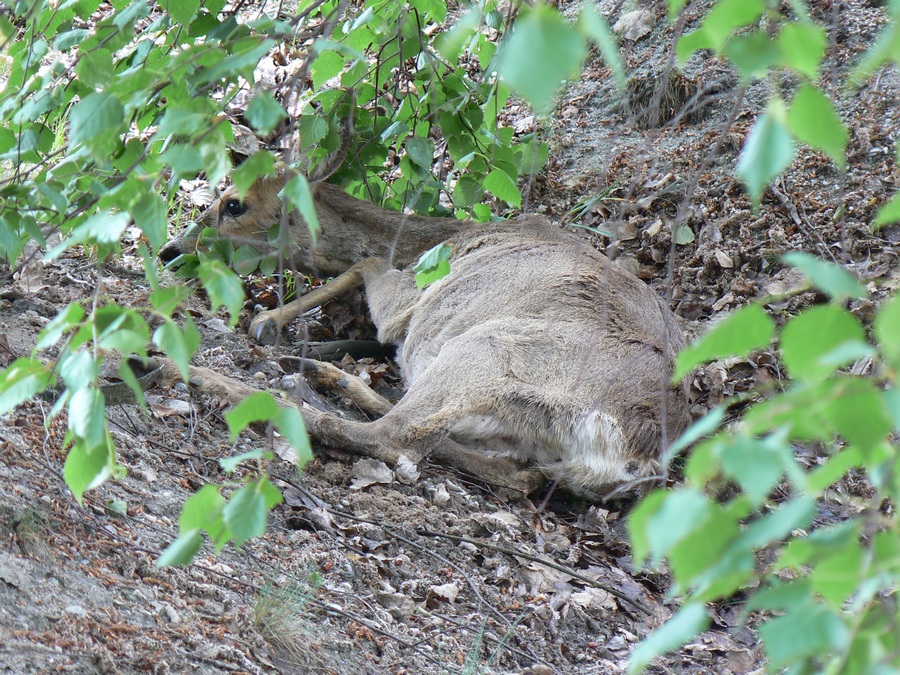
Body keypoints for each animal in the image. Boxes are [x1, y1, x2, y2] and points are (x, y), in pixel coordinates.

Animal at [158, 164, 692, 502]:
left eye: (234, 204)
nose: (169, 249)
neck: (431, 239)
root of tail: (639, 457)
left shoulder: (410, 296)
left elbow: (366, 267)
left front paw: (267, 322)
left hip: (488, 347)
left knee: (389, 436)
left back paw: (195, 374)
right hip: (513, 427)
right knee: (513, 473)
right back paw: (326, 372)